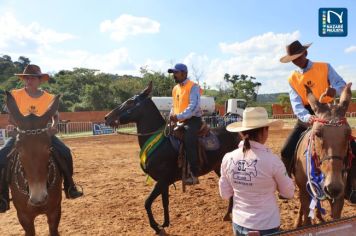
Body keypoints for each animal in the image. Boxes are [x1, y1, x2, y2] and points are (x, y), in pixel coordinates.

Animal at [105, 82, 239, 234]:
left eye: (130, 102)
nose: (107, 117)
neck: (160, 143)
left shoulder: (162, 180)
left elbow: (147, 202)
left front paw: (155, 226)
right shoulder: (164, 183)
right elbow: (164, 202)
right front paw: (165, 223)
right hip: (218, 169)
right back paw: (227, 215)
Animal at [294, 83, 352, 227]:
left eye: (348, 133)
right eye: (317, 133)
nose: (333, 187)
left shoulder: (338, 198)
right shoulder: (305, 192)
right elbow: (306, 218)